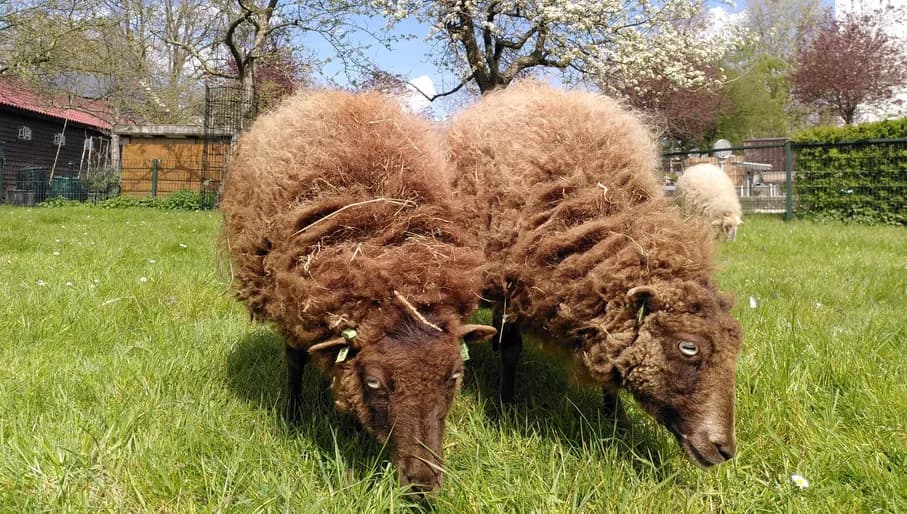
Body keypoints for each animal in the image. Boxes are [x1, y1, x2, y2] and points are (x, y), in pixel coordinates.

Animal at [221, 89, 496, 493]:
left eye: (455, 377)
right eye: (374, 383)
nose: (422, 482)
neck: (389, 265)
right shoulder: (292, 303)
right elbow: (295, 361)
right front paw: (292, 415)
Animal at [447, 81, 742, 467]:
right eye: (688, 347)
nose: (725, 450)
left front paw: (618, 419)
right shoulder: (511, 282)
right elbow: (511, 348)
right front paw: (506, 404)